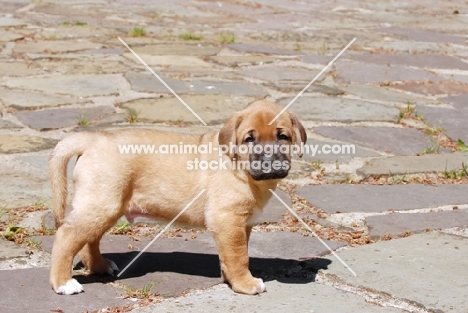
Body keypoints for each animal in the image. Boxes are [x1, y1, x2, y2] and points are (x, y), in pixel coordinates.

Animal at [48, 100, 308, 294]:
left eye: (283, 137)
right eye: (249, 139)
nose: (269, 161)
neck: (242, 170)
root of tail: (92, 139)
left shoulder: (242, 224)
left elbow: (234, 253)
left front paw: (230, 278)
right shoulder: (227, 220)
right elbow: (239, 255)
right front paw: (245, 283)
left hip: (104, 207)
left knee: (88, 240)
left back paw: (100, 266)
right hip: (102, 205)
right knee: (66, 236)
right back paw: (63, 283)